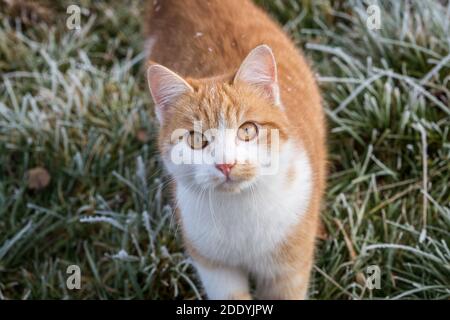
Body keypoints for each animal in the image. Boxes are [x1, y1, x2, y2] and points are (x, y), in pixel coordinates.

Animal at [146, 0, 326, 300]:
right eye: (196, 140)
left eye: (247, 130)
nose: (226, 164)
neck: (240, 210)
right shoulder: (214, 268)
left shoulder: (288, 269)